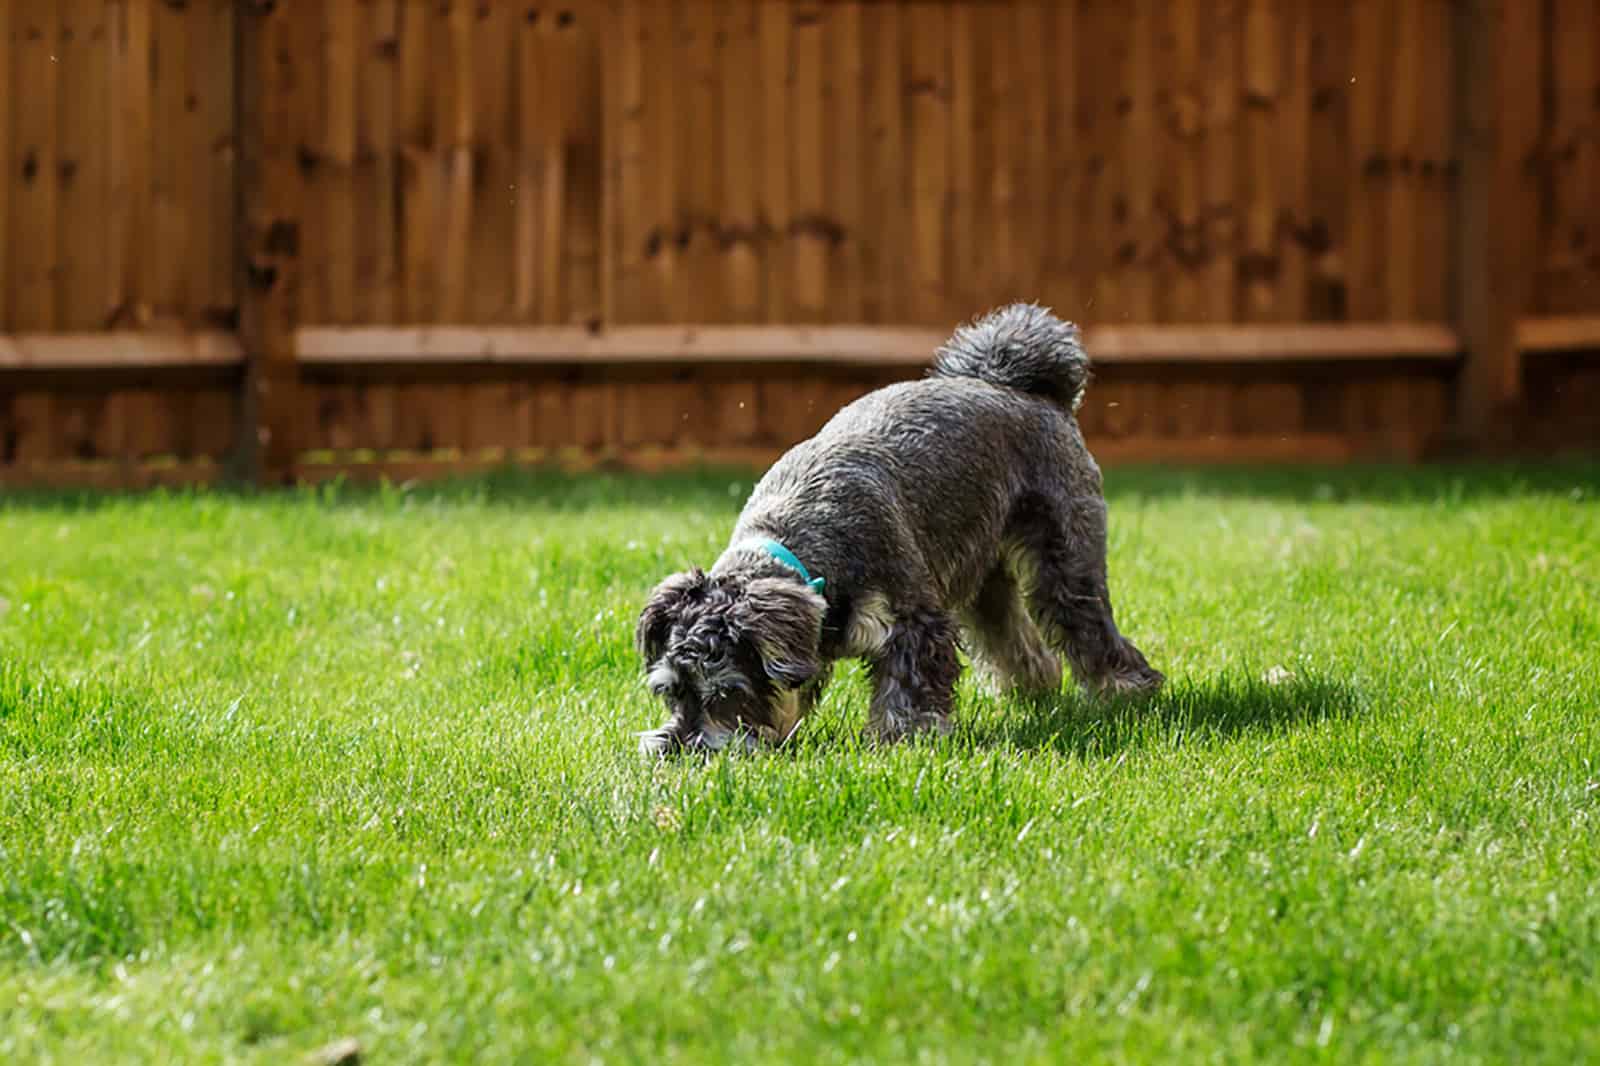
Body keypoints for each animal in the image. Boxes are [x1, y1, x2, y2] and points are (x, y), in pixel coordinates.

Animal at [633, 300, 1164, 755]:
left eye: (725, 693)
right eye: (671, 692)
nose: (675, 749)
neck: (801, 549)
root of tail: (1026, 390)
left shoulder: (914, 620)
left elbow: (909, 687)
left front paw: (904, 740)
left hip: (1064, 559)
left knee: (1086, 623)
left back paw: (1128, 689)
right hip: (982, 579)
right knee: (1008, 634)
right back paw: (1031, 686)